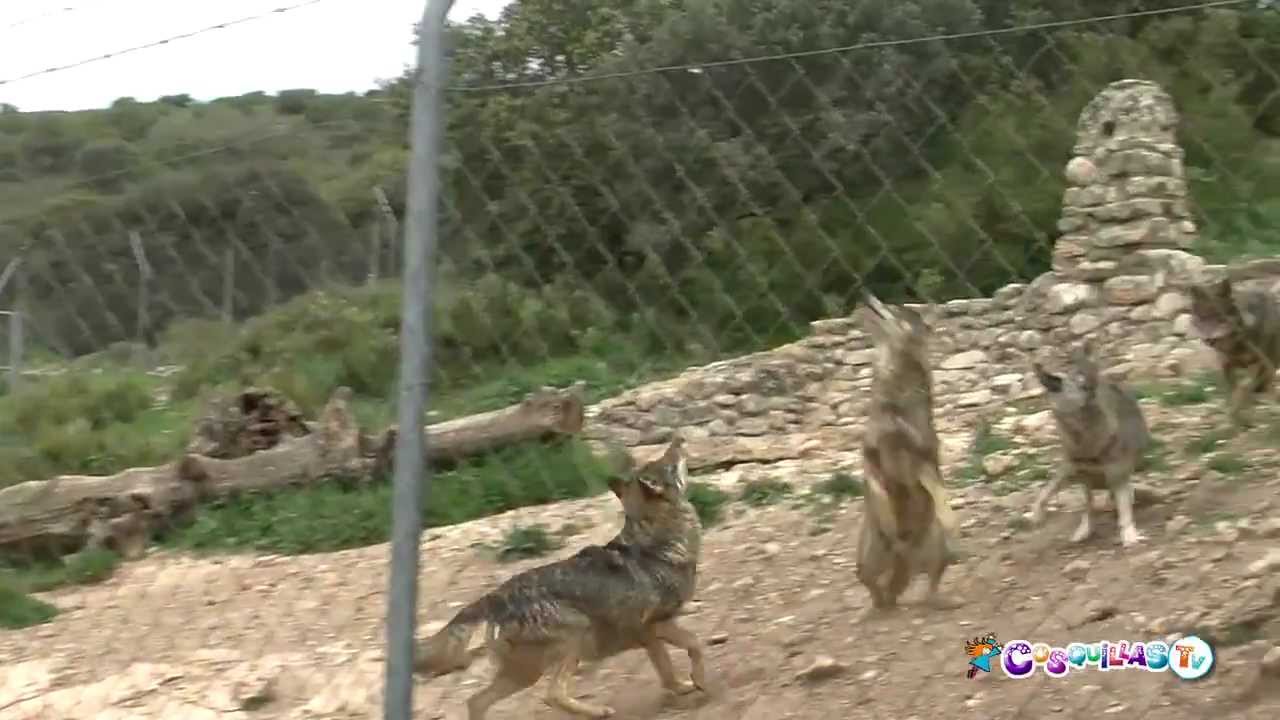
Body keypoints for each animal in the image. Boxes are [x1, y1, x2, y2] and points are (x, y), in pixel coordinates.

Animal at [413, 434, 709, 719]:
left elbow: (667, 670)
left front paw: (682, 686)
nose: (678, 439)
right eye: (669, 462)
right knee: (551, 695)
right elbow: (695, 644)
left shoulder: (650, 635)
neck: (658, 543)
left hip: (525, 673)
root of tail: (494, 597)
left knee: (476, 702)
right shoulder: (657, 625)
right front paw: (699, 681)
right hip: (571, 642)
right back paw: (598, 712)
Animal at [855, 291, 960, 618]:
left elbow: (941, 494)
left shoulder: (923, 460)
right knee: (873, 586)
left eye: (893, 307)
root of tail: (906, 558)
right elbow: (874, 483)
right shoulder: (872, 456)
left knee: (929, 586)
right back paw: (875, 608)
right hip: (867, 557)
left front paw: (952, 521)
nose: (863, 295)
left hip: (937, 551)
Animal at [1030, 341, 1150, 547]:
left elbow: (1123, 508)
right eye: (1078, 383)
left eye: (1086, 379)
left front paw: (1130, 537)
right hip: (1071, 471)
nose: (1093, 383)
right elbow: (1087, 506)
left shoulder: (1117, 471)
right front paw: (1083, 531)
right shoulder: (1081, 472)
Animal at [1187, 277, 1280, 426]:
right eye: (1202, 319)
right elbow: (1232, 393)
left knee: (1265, 387)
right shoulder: (1226, 366)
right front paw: (1234, 419)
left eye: (1220, 319)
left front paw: (1239, 416)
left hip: (1268, 364)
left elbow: (1243, 391)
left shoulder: (1258, 365)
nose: (1209, 340)